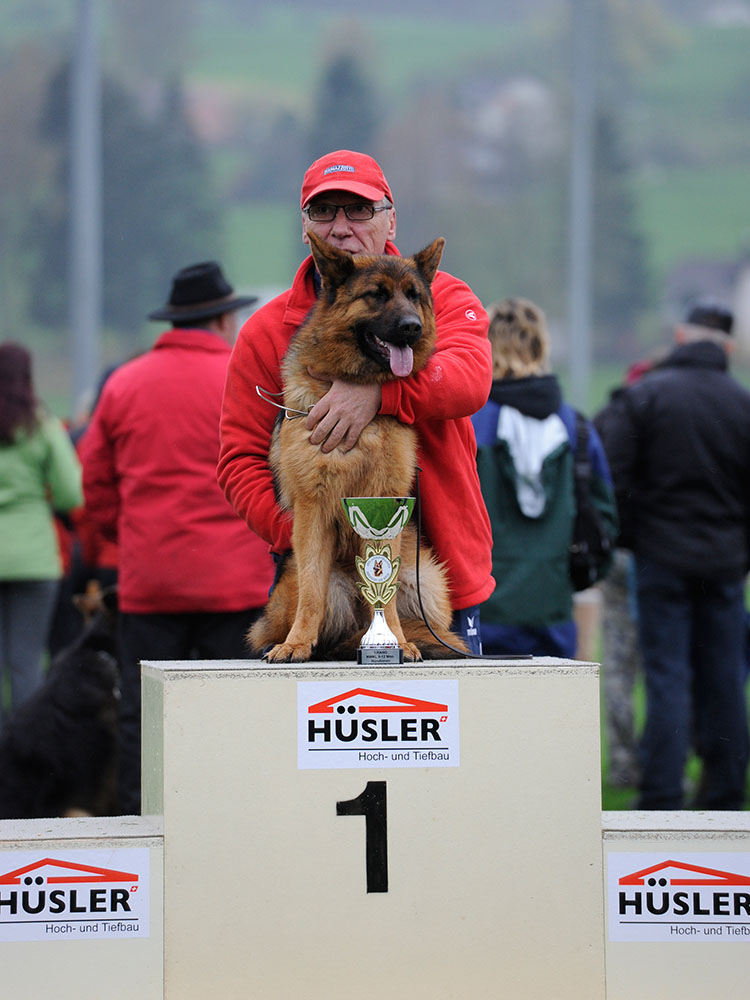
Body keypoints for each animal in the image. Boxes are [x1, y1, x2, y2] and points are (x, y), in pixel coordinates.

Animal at [250, 229, 468, 660]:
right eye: (376, 295)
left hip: (427, 580)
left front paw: (396, 641)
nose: (412, 327)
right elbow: (311, 595)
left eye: (413, 295)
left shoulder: (386, 506)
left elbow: (387, 602)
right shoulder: (313, 513)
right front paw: (296, 644)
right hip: (303, 585)